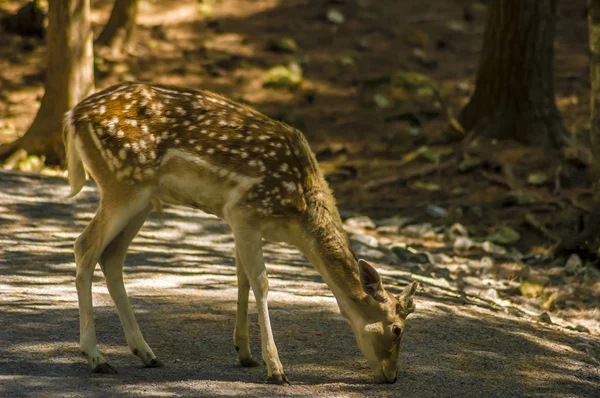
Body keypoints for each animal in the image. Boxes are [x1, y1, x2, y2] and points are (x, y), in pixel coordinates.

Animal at [64, 81, 418, 386]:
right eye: (397, 329)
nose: (392, 376)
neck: (298, 216)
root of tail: (73, 116)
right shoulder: (244, 210)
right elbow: (261, 283)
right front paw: (276, 369)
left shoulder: (243, 221)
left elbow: (243, 278)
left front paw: (245, 354)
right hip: (123, 184)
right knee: (84, 246)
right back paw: (97, 358)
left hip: (143, 198)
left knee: (112, 257)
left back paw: (146, 353)